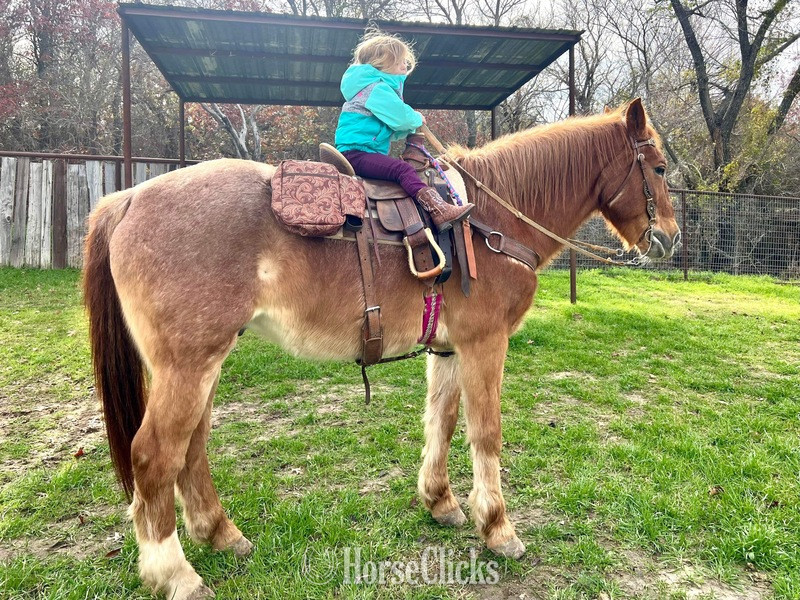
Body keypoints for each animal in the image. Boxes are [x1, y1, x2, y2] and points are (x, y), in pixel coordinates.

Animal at [83, 99, 680, 599]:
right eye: (659, 169)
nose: (671, 239)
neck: (490, 218)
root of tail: (128, 198)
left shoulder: (448, 349)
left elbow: (442, 420)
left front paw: (440, 502)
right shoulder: (485, 344)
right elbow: (486, 433)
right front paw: (498, 528)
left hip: (204, 363)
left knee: (192, 449)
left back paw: (222, 535)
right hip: (188, 365)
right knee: (154, 455)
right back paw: (176, 575)